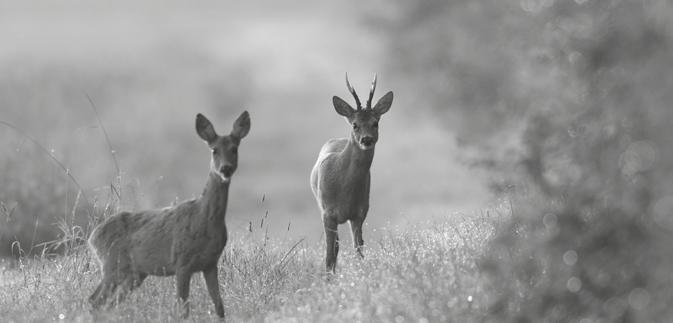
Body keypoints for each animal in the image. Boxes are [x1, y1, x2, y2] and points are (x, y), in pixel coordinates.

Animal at [86, 111, 249, 318]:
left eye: (234, 149)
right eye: (214, 150)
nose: (225, 169)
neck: (204, 218)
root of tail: (92, 237)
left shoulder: (210, 263)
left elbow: (219, 306)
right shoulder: (182, 263)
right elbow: (183, 308)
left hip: (135, 274)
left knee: (108, 303)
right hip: (112, 265)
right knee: (94, 300)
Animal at [312, 74, 394, 274]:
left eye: (375, 123)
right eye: (355, 125)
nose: (366, 139)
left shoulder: (360, 213)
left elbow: (359, 250)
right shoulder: (327, 212)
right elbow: (329, 255)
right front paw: (329, 278)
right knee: (334, 248)